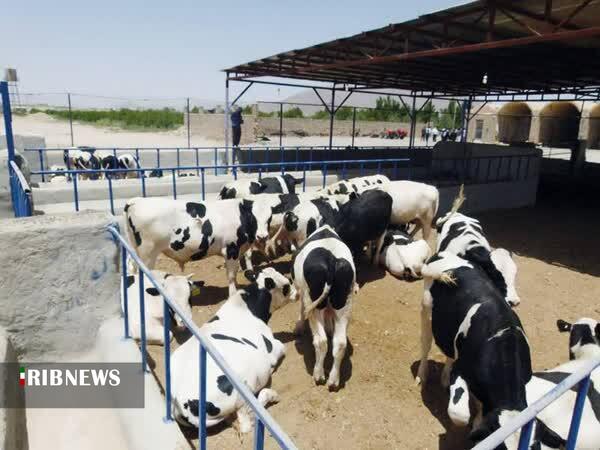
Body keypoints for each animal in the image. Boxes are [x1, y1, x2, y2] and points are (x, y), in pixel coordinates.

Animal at [125, 196, 274, 296]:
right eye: (253, 217)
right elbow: (231, 276)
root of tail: (135, 201)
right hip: (147, 255)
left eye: (269, 217)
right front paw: (233, 294)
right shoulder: (231, 249)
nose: (262, 236)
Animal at [170, 268, 296, 432]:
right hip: (242, 391)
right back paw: (271, 395)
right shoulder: (274, 348)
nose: (297, 293)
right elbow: (283, 346)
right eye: (287, 285)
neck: (246, 307)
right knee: (246, 422)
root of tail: (180, 406)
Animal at [292, 225, 358, 390]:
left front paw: (298, 327)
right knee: (340, 343)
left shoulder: (304, 295)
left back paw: (319, 375)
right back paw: (333, 380)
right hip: (344, 304)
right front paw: (329, 328)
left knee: (321, 342)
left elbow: (301, 308)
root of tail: (331, 260)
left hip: (314, 304)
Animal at [418, 251, 528, 448]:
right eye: (500, 446)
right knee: (426, 344)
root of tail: (445, 254)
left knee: (450, 351)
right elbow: (460, 415)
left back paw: (444, 378)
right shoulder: (461, 371)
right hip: (426, 311)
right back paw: (422, 376)